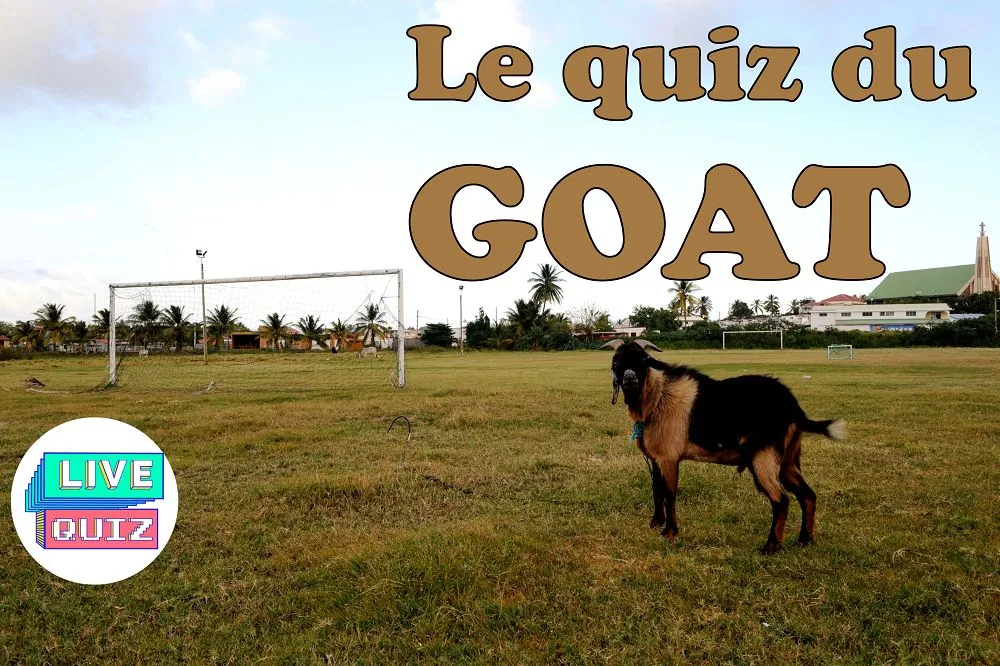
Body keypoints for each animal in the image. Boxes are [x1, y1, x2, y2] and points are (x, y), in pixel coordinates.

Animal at [606, 339, 845, 554]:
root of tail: (794, 407)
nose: (629, 379)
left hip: (763, 456)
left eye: (643, 360)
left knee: (781, 500)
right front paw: (656, 523)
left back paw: (771, 547)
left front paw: (670, 532)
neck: (658, 396)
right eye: (617, 361)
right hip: (789, 459)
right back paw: (805, 540)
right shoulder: (655, 457)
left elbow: (669, 493)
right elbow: (656, 488)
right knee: (807, 495)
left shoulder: (668, 458)